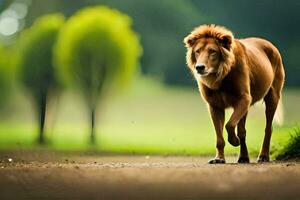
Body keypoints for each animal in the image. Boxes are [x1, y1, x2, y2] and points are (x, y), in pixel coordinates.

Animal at [184, 24, 284, 163]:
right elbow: (220, 137)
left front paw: (234, 141)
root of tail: (270, 44)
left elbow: (229, 124)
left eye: (213, 51)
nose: (200, 67)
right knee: (242, 130)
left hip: (272, 95)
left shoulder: (244, 98)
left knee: (268, 128)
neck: (219, 76)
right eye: (197, 51)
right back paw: (243, 157)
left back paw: (263, 156)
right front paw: (219, 159)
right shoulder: (215, 105)